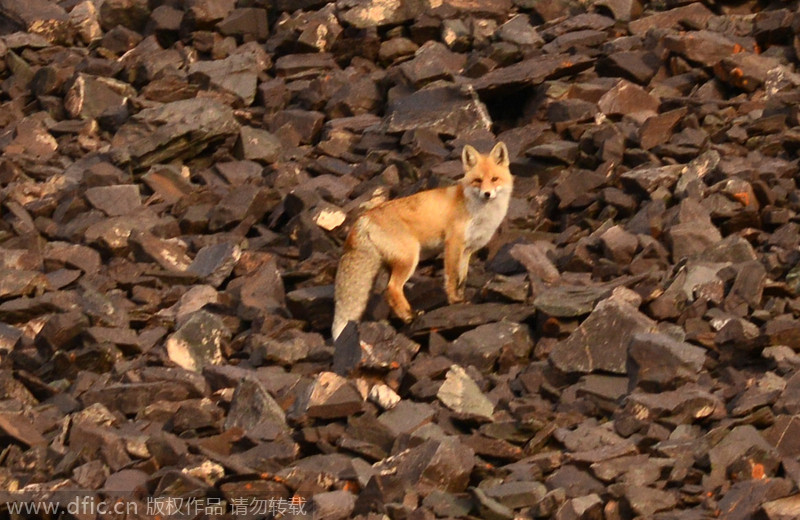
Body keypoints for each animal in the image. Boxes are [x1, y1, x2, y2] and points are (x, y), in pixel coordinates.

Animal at [332, 141, 512, 342]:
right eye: (478, 181)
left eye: (495, 179)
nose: (487, 194)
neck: (479, 212)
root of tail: (364, 217)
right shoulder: (453, 243)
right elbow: (451, 278)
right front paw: (454, 301)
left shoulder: (466, 250)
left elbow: (462, 280)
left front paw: (462, 299)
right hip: (410, 258)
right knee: (392, 289)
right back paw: (409, 316)